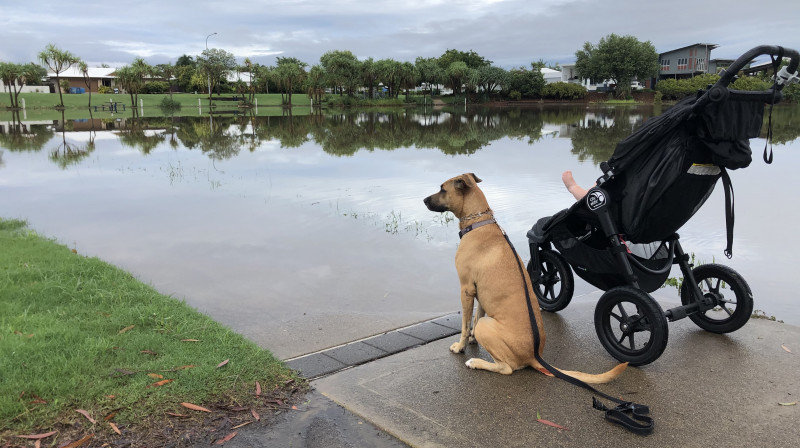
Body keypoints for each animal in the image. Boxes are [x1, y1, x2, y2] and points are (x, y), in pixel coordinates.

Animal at [424, 173, 624, 384]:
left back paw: (476, 362)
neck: (478, 222)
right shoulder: (479, 293)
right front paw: (471, 339)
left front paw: (460, 346)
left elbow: (465, 324)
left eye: (443, 189)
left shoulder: (466, 289)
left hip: (488, 329)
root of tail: (534, 357)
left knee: (506, 368)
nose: (424, 200)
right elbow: (476, 317)